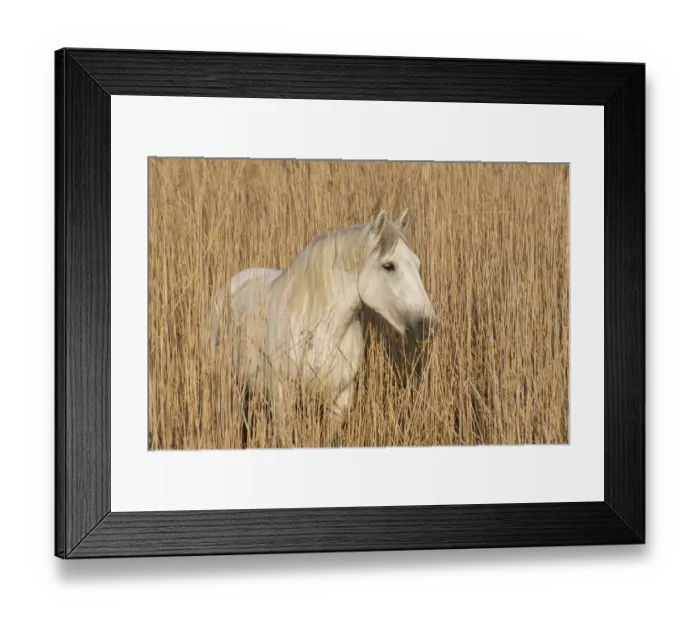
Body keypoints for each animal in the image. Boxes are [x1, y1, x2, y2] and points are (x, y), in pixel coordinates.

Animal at [204, 209, 438, 446]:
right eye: (389, 266)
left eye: (417, 264)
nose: (429, 324)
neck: (323, 332)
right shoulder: (282, 398)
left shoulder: (339, 401)